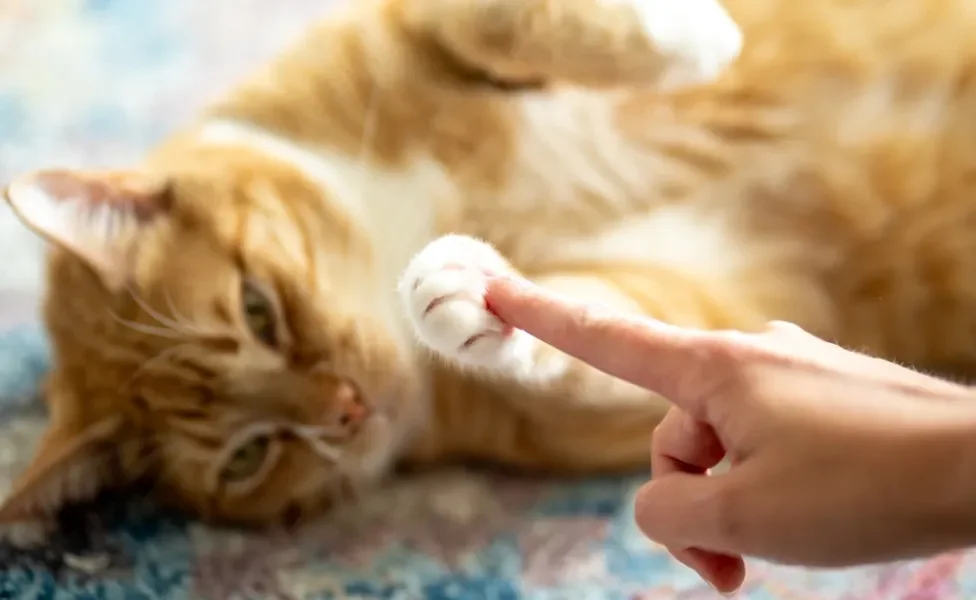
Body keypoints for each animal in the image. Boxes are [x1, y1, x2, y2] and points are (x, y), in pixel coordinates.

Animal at [5, 0, 976, 536]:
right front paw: (470, 302)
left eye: (256, 309)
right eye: (247, 458)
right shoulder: (687, 306)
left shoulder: (390, 25)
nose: (348, 410)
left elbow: (487, 19)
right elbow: (593, 343)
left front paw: (690, 36)